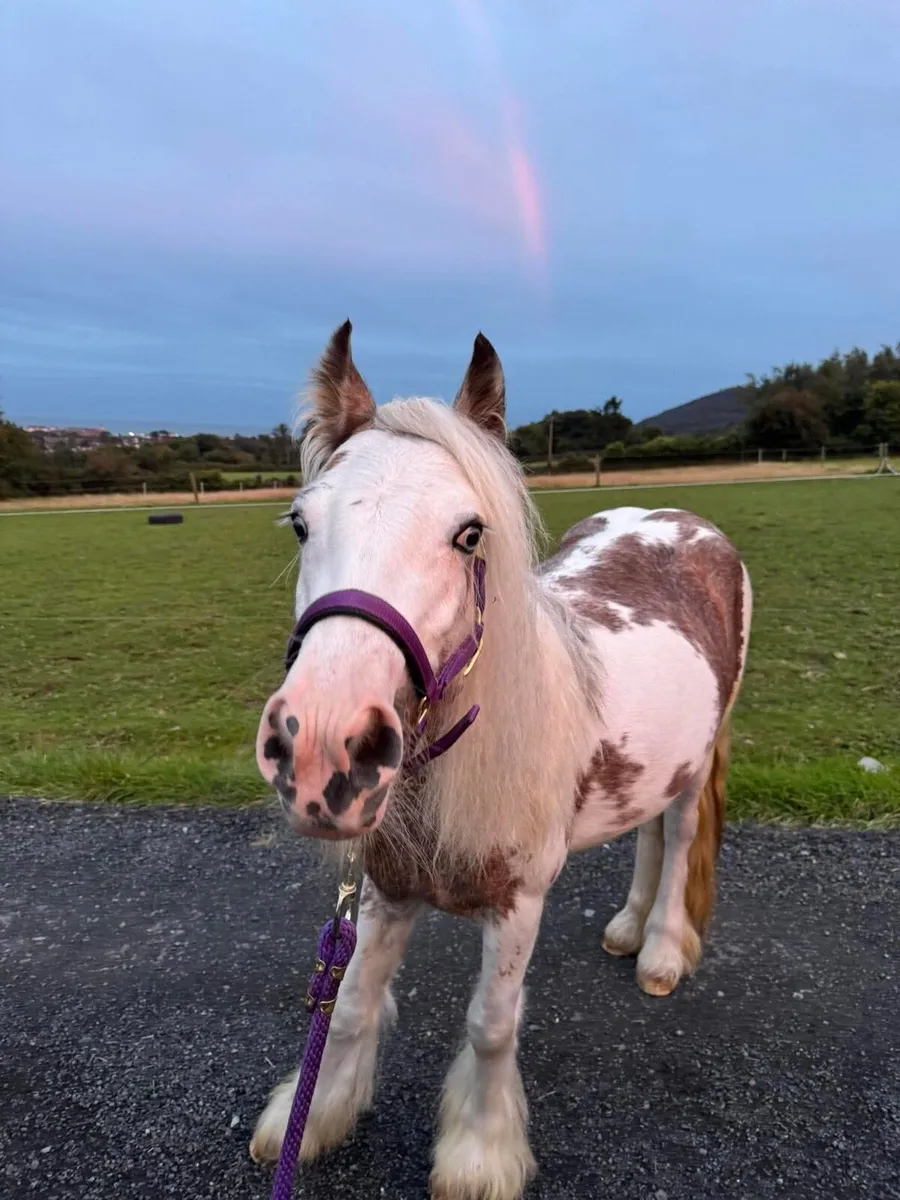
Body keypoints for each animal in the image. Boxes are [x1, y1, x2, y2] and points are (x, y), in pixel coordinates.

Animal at [249, 321, 753, 1200]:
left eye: (470, 533)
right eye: (301, 523)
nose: (320, 745)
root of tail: (675, 517)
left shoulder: (519, 904)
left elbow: (490, 1024)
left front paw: (480, 1154)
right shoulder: (386, 889)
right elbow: (348, 1006)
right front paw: (313, 1118)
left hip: (697, 768)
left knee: (683, 837)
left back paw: (658, 950)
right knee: (650, 833)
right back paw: (626, 927)